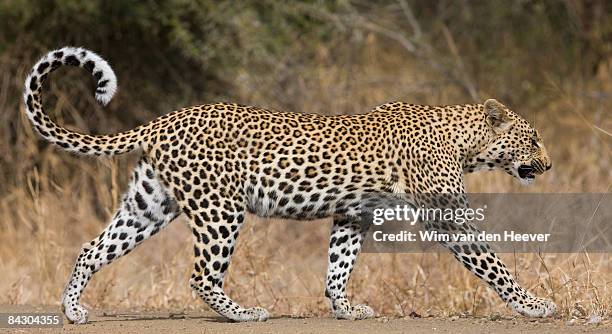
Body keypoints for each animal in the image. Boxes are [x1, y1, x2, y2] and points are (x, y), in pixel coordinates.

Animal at [22, 47, 556, 324]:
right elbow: (493, 264)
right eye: (532, 138)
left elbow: (339, 265)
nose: (549, 165)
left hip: (150, 204)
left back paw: (73, 310)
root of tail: (162, 121)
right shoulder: (446, 214)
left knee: (91, 248)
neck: (464, 142)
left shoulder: (353, 213)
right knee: (200, 275)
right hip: (220, 209)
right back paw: (242, 313)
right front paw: (534, 305)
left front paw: (345, 309)